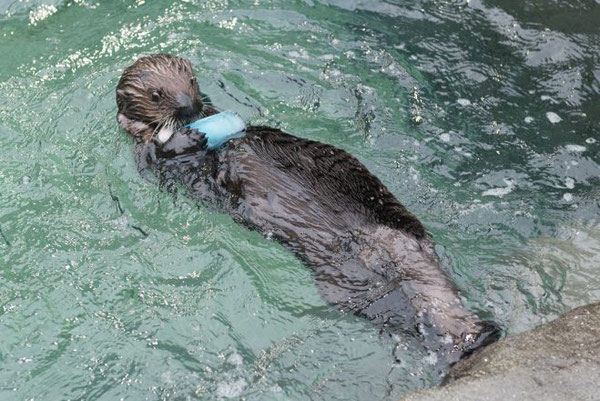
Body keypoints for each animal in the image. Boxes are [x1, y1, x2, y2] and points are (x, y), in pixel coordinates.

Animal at [115, 53, 500, 366]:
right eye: (156, 95)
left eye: (192, 82)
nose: (188, 107)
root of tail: (380, 244)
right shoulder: (147, 155)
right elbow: (161, 152)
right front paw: (191, 137)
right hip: (354, 287)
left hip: (377, 204)